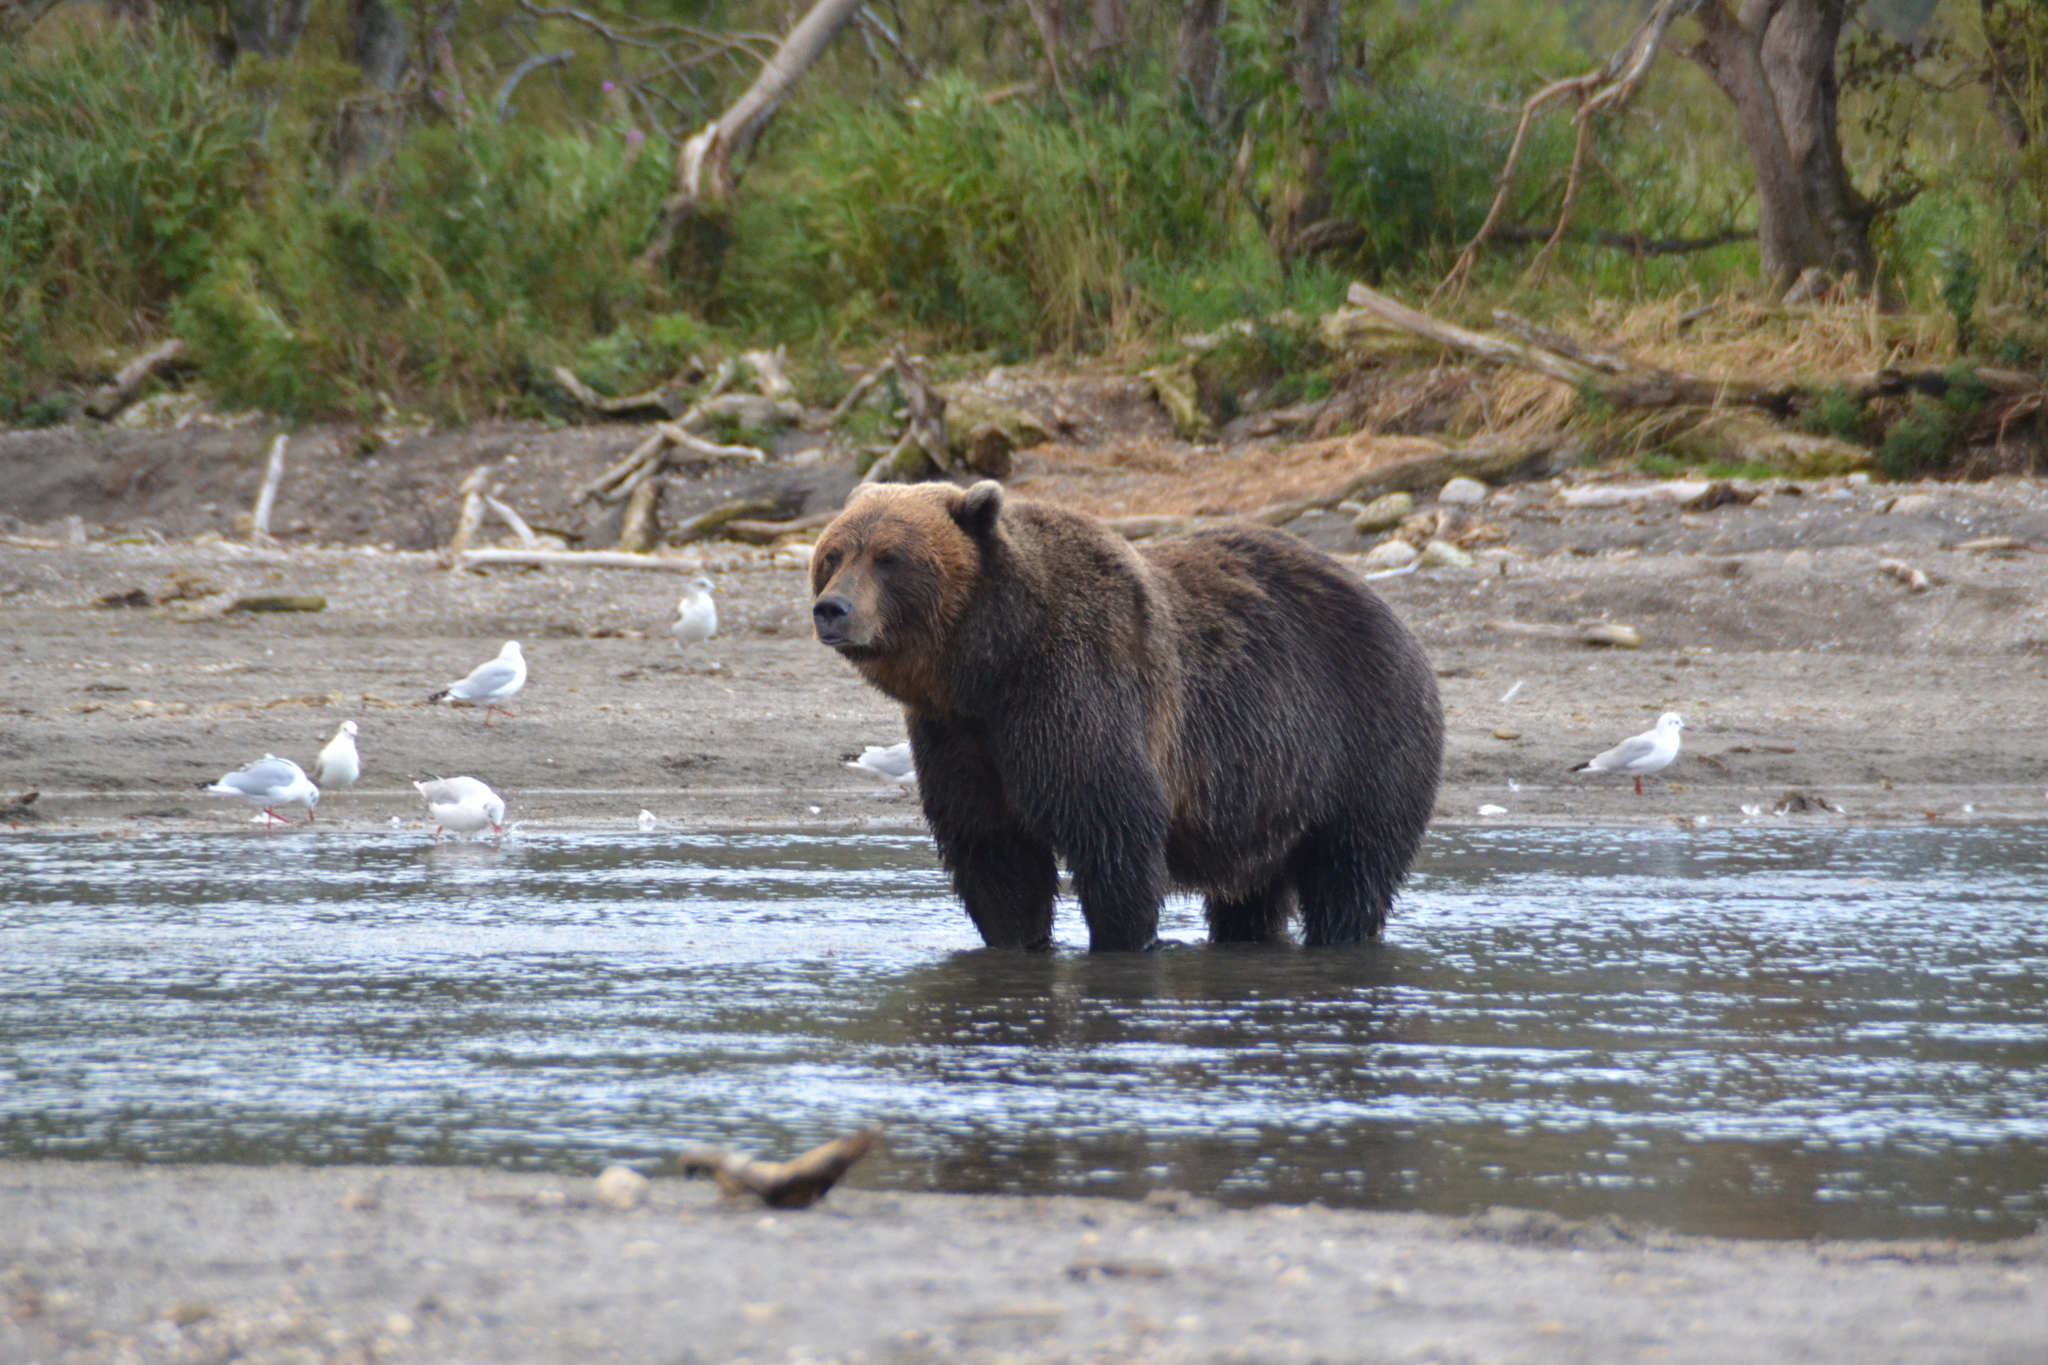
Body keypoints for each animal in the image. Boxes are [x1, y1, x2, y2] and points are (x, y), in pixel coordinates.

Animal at [802, 480, 1441, 949]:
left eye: (890, 557)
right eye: (833, 553)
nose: (832, 608)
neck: (989, 665)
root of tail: (1392, 612)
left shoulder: (1078, 691)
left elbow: (1113, 832)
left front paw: (1123, 940)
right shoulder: (958, 737)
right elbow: (994, 853)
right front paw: (1018, 939)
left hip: (1360, 736)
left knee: (1351, 870)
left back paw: (1342, 935)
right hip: (1267, 794)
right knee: (1252, 895)